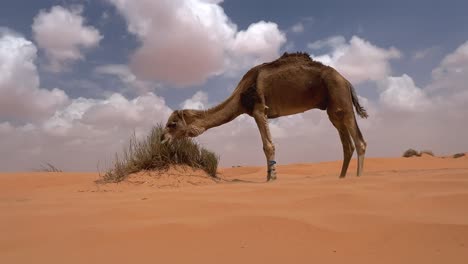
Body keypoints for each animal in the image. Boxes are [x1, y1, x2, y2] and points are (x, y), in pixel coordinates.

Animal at [163, 52, 368, 183]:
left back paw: (359, 178)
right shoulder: (261, 112)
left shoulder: (259, 110)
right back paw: (341, 177)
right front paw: (270, 176)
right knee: (347, 144)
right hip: (333, 110)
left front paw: (272, 179)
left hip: (341, 98)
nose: (162, 139)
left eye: (172, 124)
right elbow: (266, 146)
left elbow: (267, 146)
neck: (240, 96)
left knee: (360, 142)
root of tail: (346, 81)